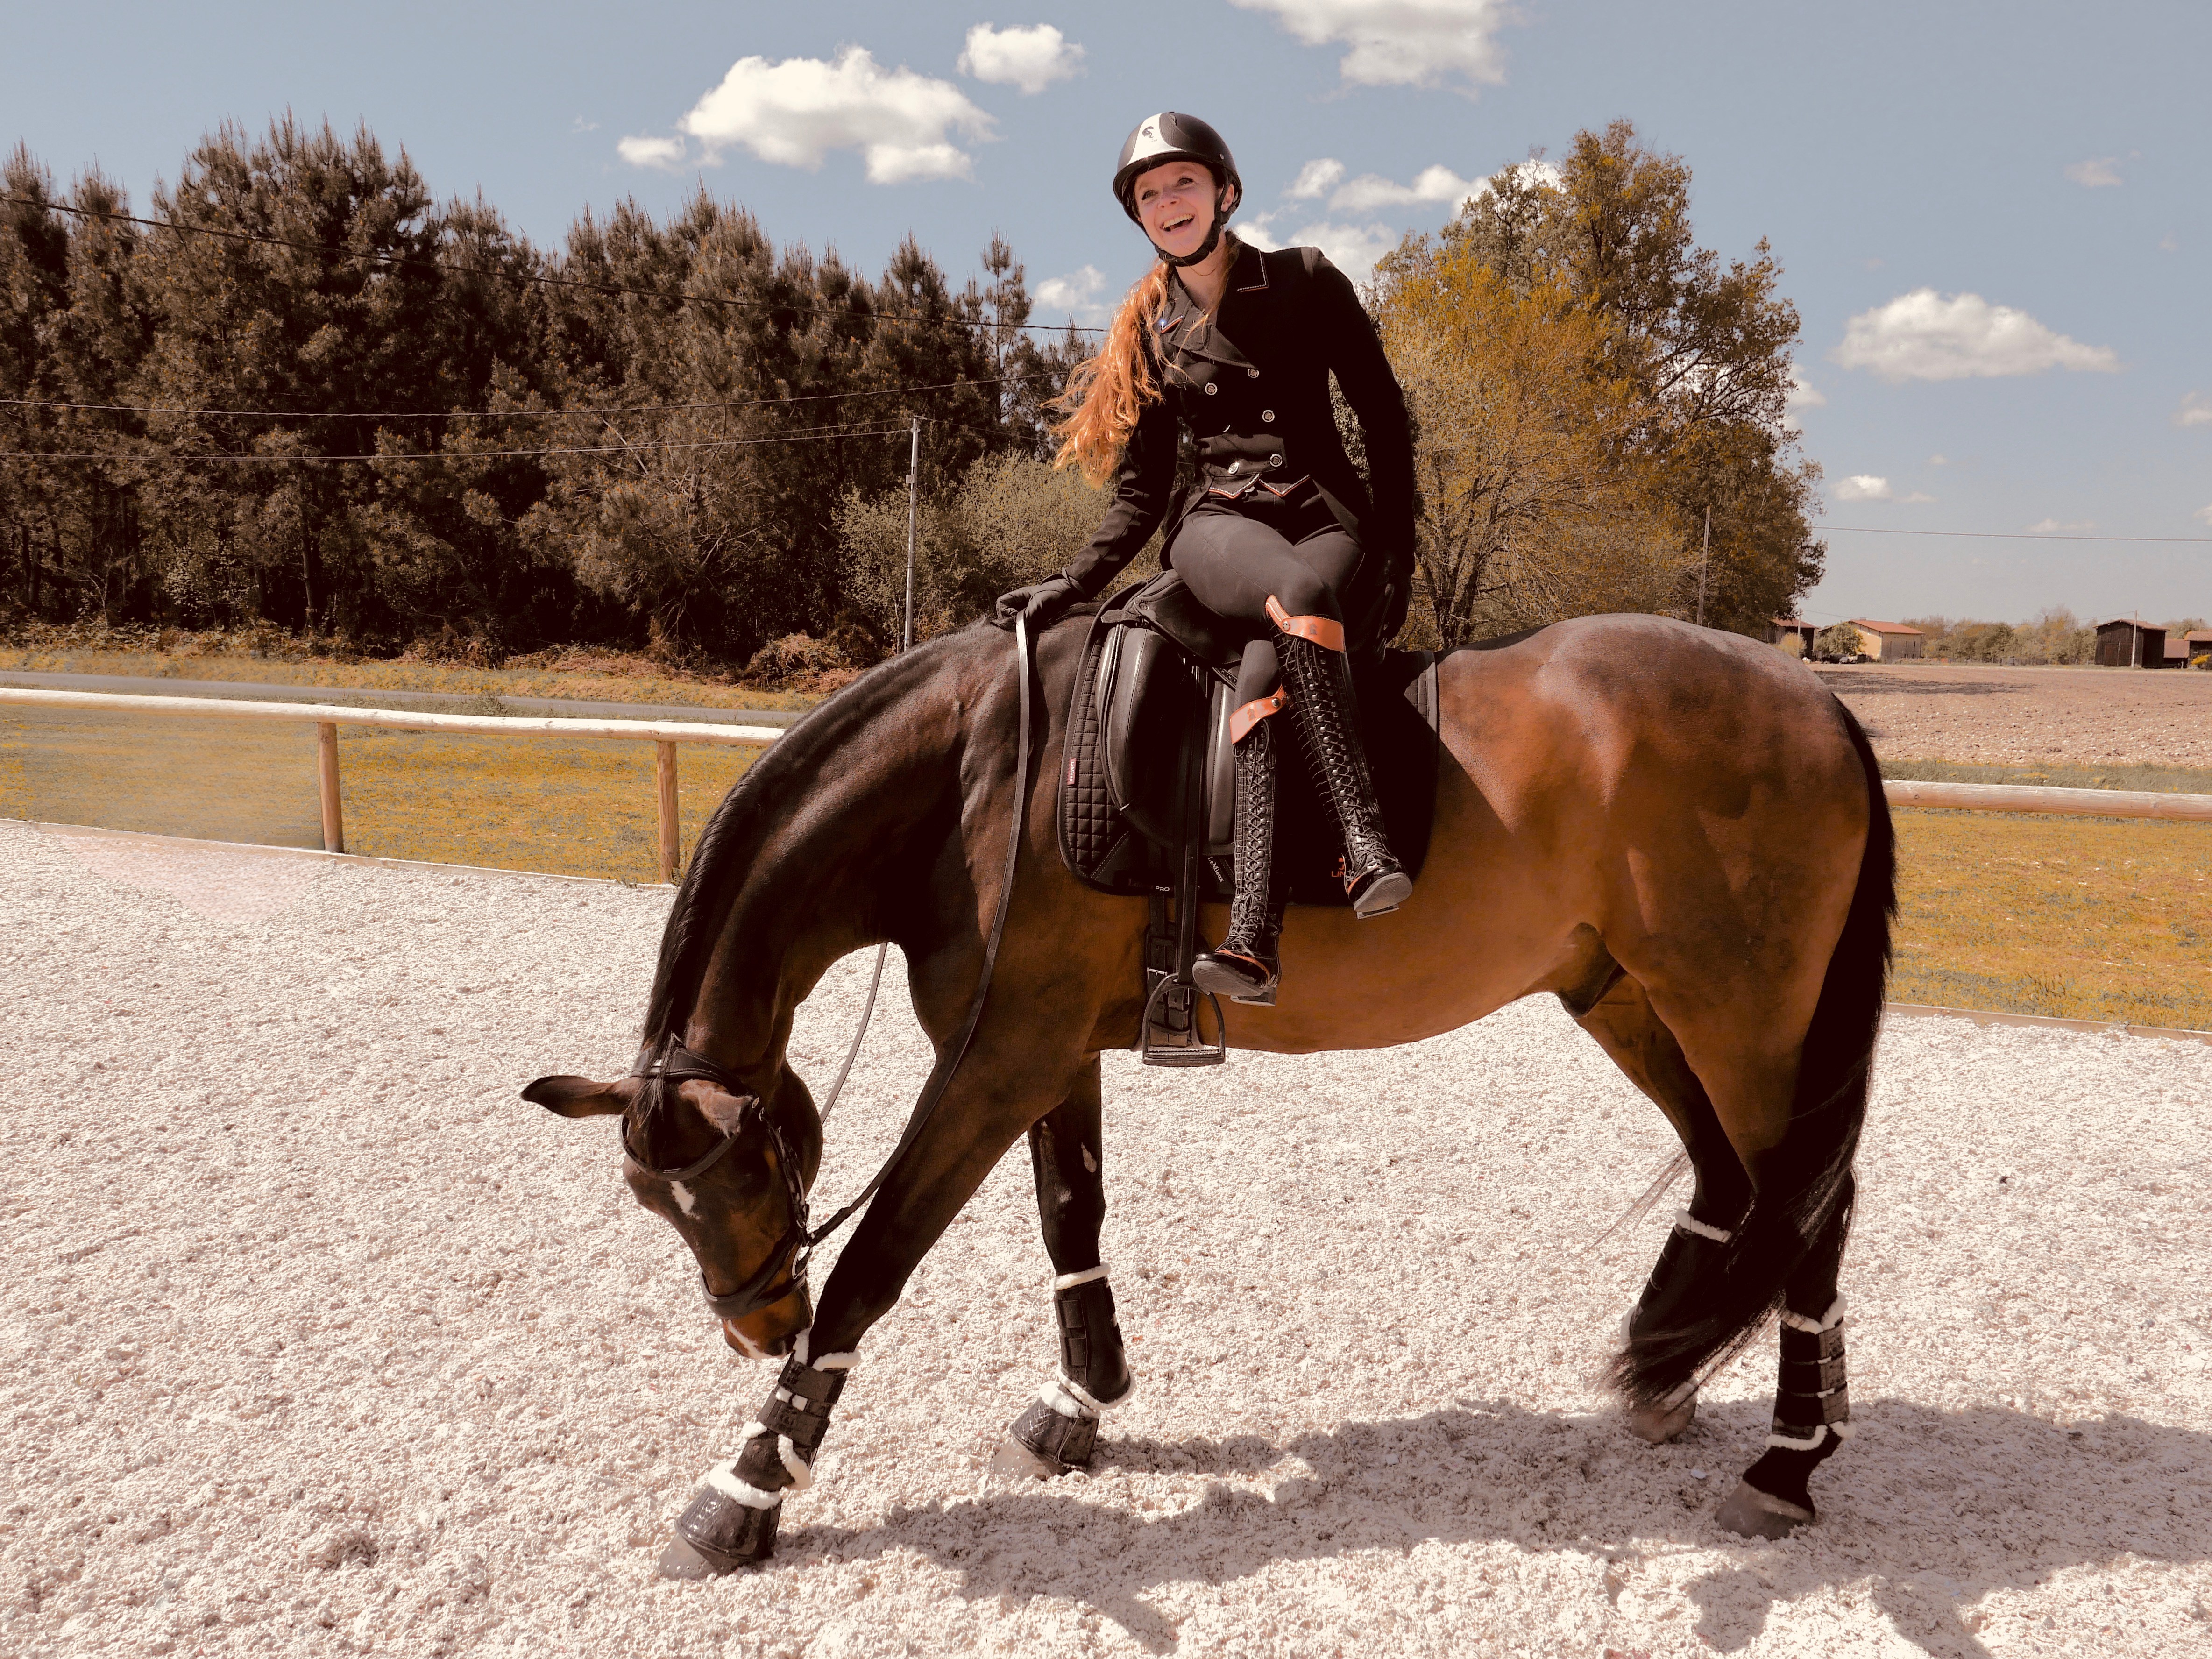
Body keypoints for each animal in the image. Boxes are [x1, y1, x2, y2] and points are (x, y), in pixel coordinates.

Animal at [524, 608, 1893, 1575]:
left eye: (742, 1173)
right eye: (656, 1204)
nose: (753, 1324)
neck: (979, 776)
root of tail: (1815, 698)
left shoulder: (993, 1064)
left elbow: (874, 1267)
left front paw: (743, 1490)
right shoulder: (1045, 1050)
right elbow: (1069, 1217)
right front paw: (1078, 1401)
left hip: (1740, 1016)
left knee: (1809, 1204)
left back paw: (1787, 1461)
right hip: (1624, 991)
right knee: (1732, 1179)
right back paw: (1684, 1377)